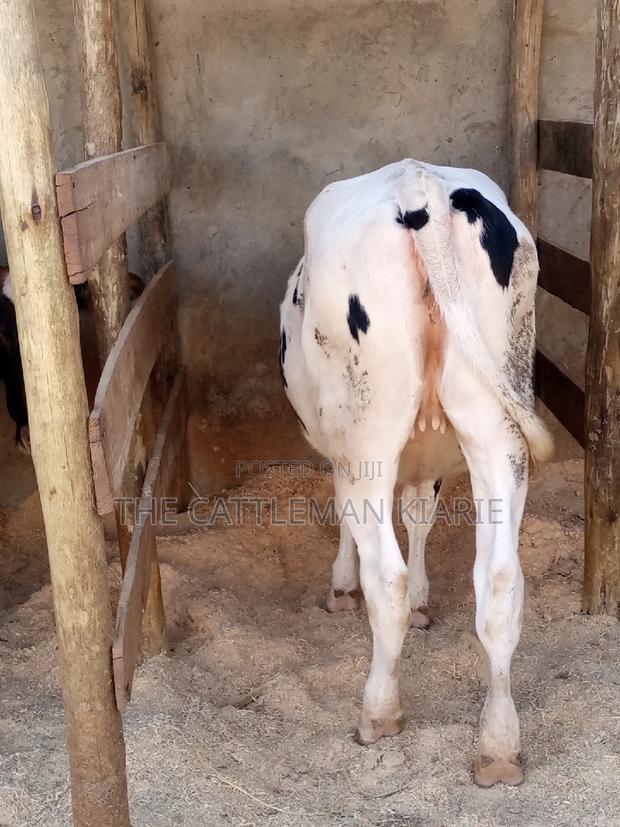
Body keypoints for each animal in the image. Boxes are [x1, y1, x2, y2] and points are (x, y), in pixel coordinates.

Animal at [279, 159, 552, 787]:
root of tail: (417, 183)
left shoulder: (342, 452)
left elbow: (355, 523)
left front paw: (341, 586)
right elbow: (421, 517)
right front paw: (429, 600)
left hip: (369, 434)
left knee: (388, 577)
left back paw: (378, 713)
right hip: (496, 429)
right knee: (500, 582)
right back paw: (499, 747)